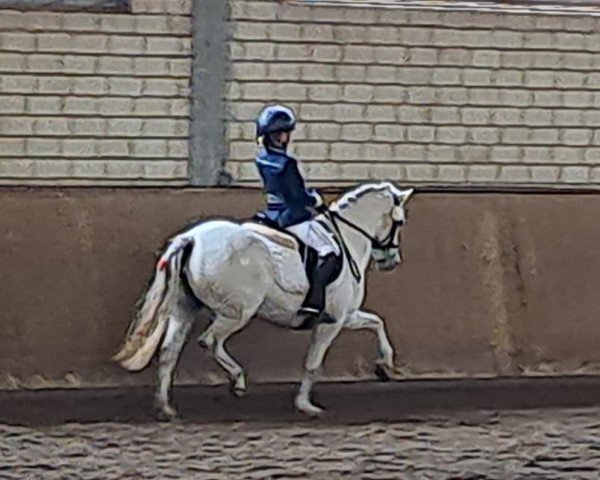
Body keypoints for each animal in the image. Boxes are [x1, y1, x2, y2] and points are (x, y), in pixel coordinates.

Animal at [113, 182, 412, 418]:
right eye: (399, 222)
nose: (392, 261)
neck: (347, 238)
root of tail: (191, 238)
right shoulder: (332, 321)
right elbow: (313, 363)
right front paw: (305, 406)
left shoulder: (347, 316)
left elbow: (377, 323)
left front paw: (385, 366)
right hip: (237, 311)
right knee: (210, 341)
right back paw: (237, 381)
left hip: (184, 307)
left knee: (169, 351)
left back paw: (165, 408)